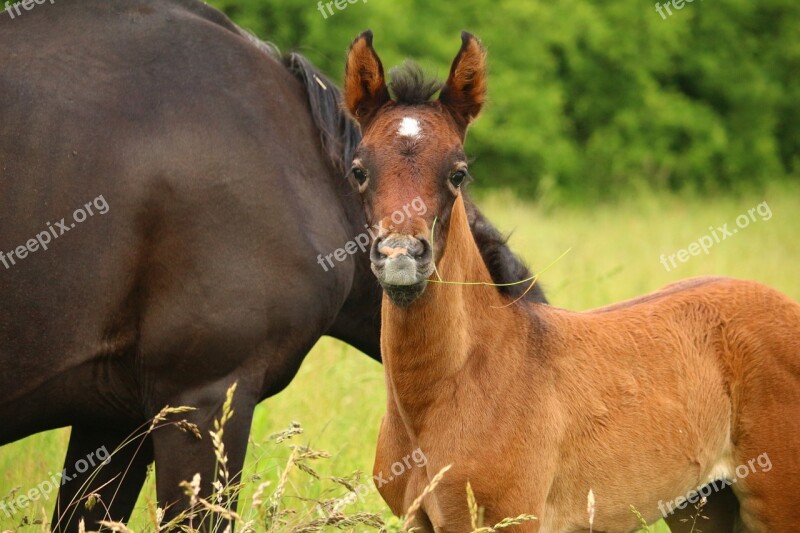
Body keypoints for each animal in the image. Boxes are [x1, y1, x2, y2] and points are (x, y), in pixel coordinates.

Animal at [342, 30, 800, 532]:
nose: (400, 256)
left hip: (777, 497)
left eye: (458, 173)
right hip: (701, 503)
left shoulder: (513, 518)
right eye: (358, 170)